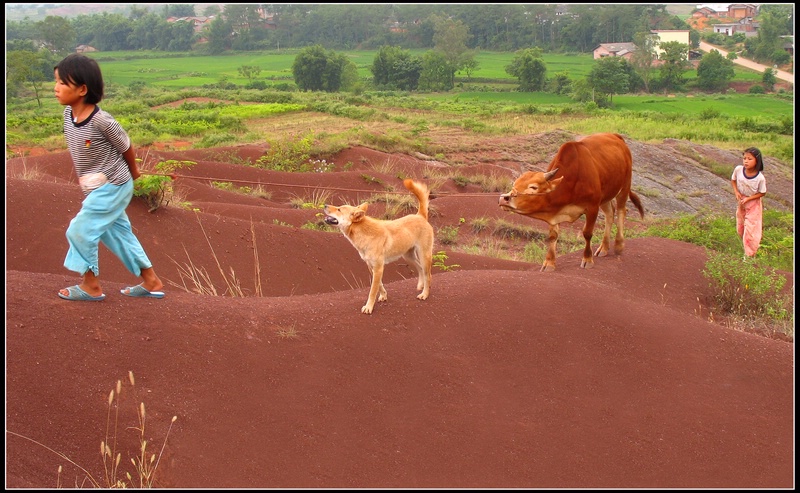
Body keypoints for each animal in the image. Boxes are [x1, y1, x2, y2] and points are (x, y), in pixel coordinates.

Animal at [324, 179, 434, 314]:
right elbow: (379, 285)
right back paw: (420, 286)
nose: (324, 205)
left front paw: (368, 307)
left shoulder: (379, 268)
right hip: (408, 256)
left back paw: (425, 293)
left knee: (428, 274)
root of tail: (420, 215)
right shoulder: (371, 266)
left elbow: (372, 291)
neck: (364, 233)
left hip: (424, 255)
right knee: (420, 269)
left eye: (339, 209)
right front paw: (383, 296)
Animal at [500, 133, 644, 270]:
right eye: (515, 184)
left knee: (621, 211)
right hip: (605, 196)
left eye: (533, 187)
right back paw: (603, 248)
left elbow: (587, 233)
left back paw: (619, 245)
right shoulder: (555, 212)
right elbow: (553, 236)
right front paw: (549, 263)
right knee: (610, 214)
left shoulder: (592, 207)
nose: (504, 198)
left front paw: (587, 260)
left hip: (624, 187)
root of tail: (616, 136)